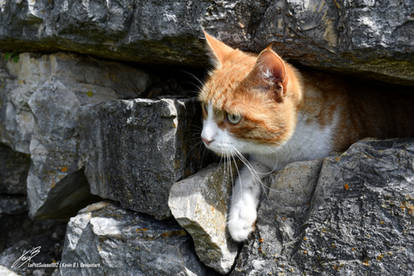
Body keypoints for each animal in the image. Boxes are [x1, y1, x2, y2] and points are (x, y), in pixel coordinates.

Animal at [199, 30, 414, 242]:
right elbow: (248, 173)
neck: (287, 149)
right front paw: (240, 216)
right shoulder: (264, 158)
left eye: (233, 117)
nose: (204, 139)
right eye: (205, 107)